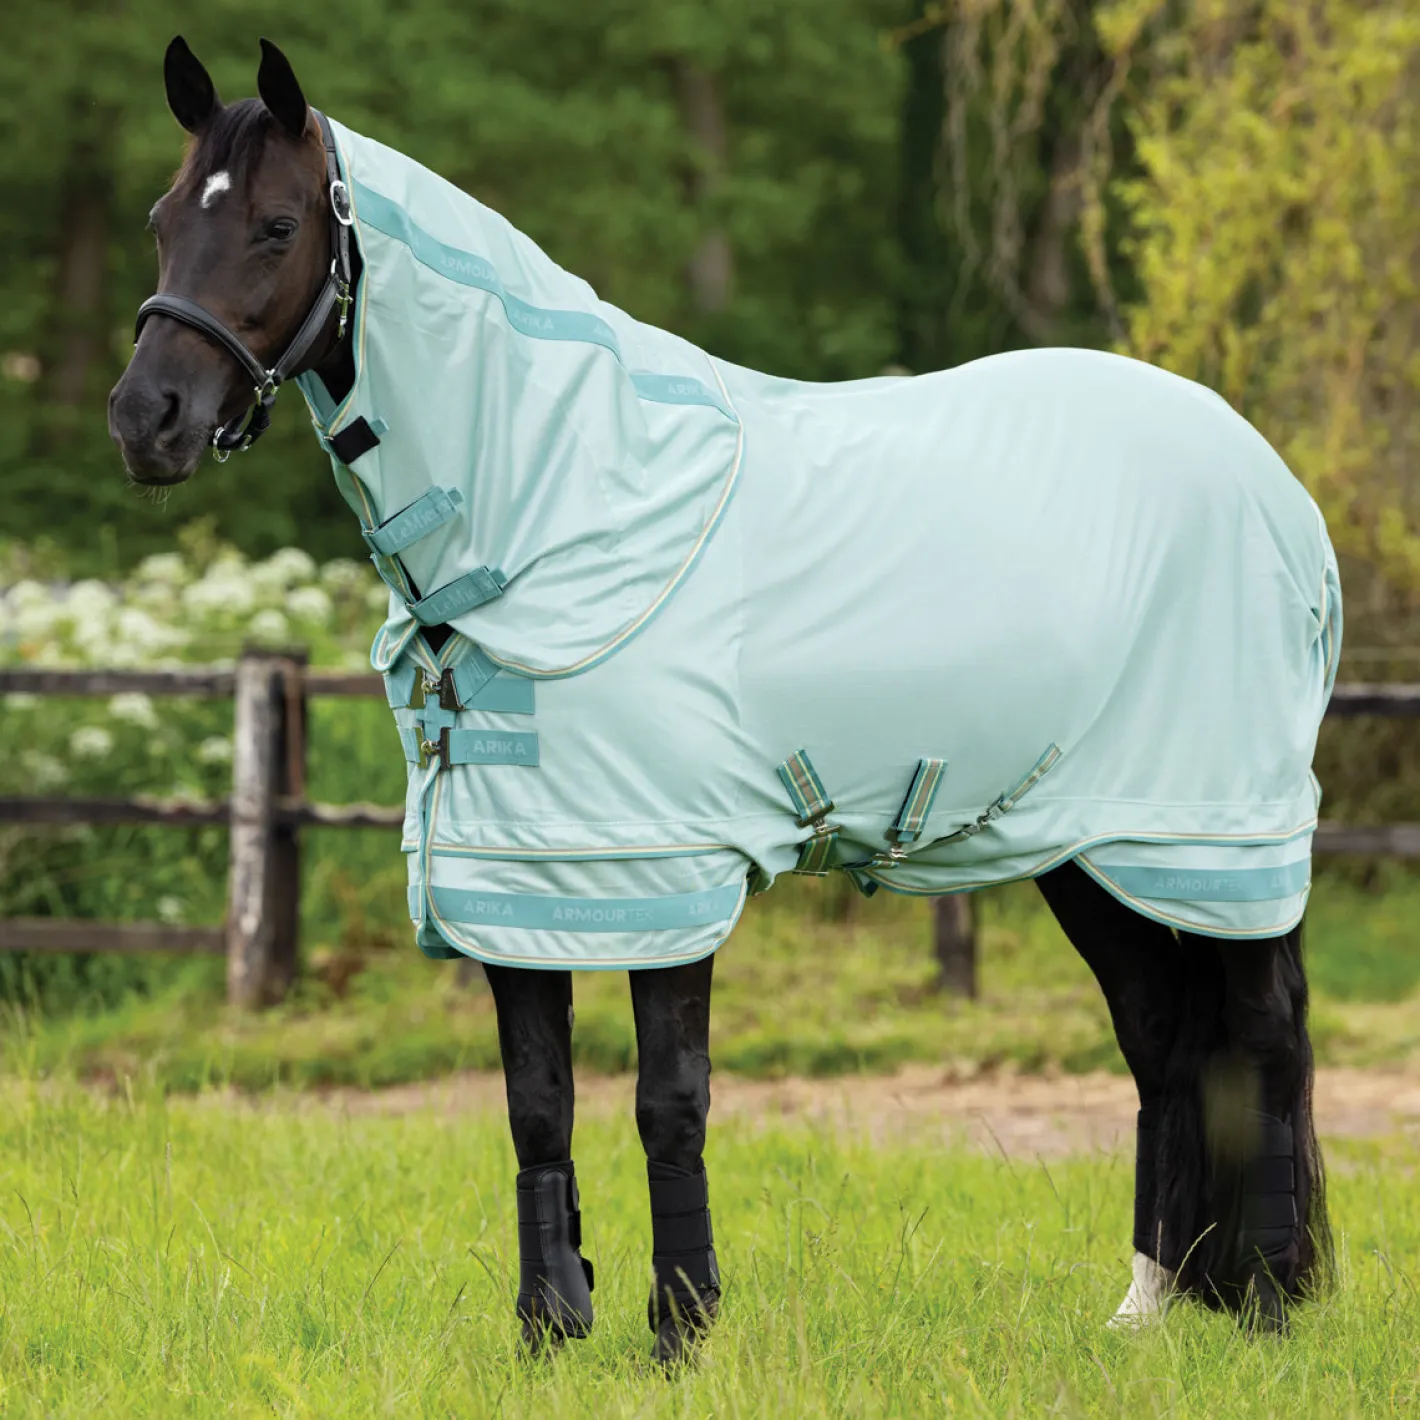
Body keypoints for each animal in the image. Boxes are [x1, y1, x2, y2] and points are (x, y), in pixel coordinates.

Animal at [109, 37, 1336, 1362]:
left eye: (278, 225)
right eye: (165, 220)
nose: (146, 419)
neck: (568, 501)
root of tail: (1273, 485)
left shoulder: (665, 865)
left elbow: (668, 1100)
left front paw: (680, 1327)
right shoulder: (518, 874)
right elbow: (536, 1105)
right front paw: (552, 1328)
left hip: (1218, 830)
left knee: (1261, 1034)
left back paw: (1271, 1303)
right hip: (1090, 840)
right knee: (1163, 1040)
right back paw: (1149, 1305)